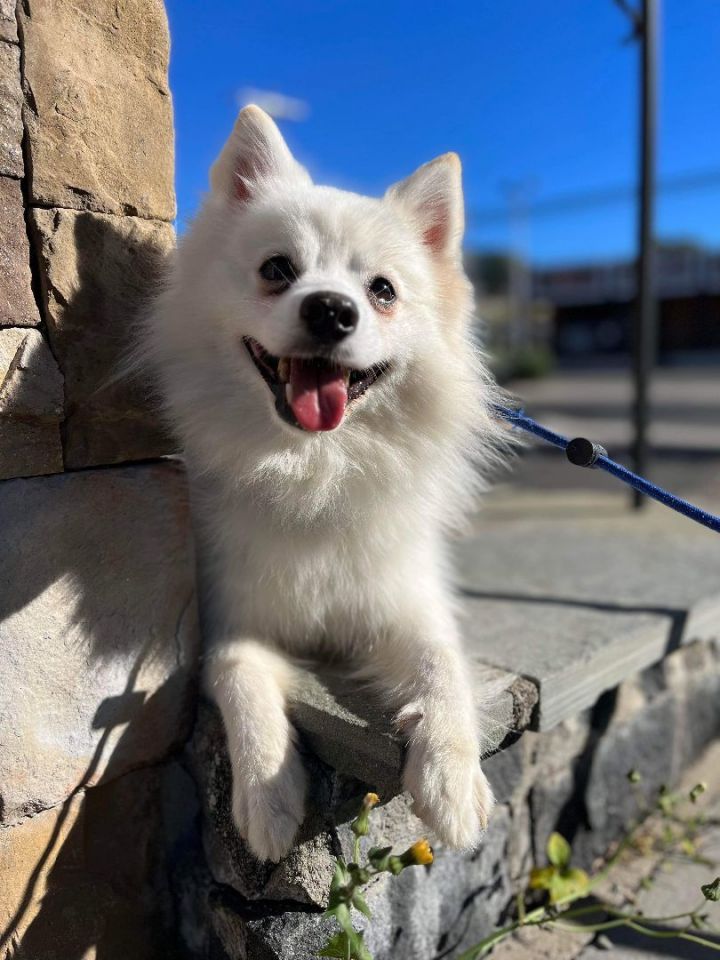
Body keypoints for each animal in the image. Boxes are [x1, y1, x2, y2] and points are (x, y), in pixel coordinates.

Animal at [145, 105, 506, 864]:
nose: (332, 310)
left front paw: (451, 777)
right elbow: (242, 679)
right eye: (277, 270)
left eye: (382, 291)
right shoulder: (230, 619)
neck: (315, 468)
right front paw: (268, 795)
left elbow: (443, 665)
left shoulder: (403, 601)